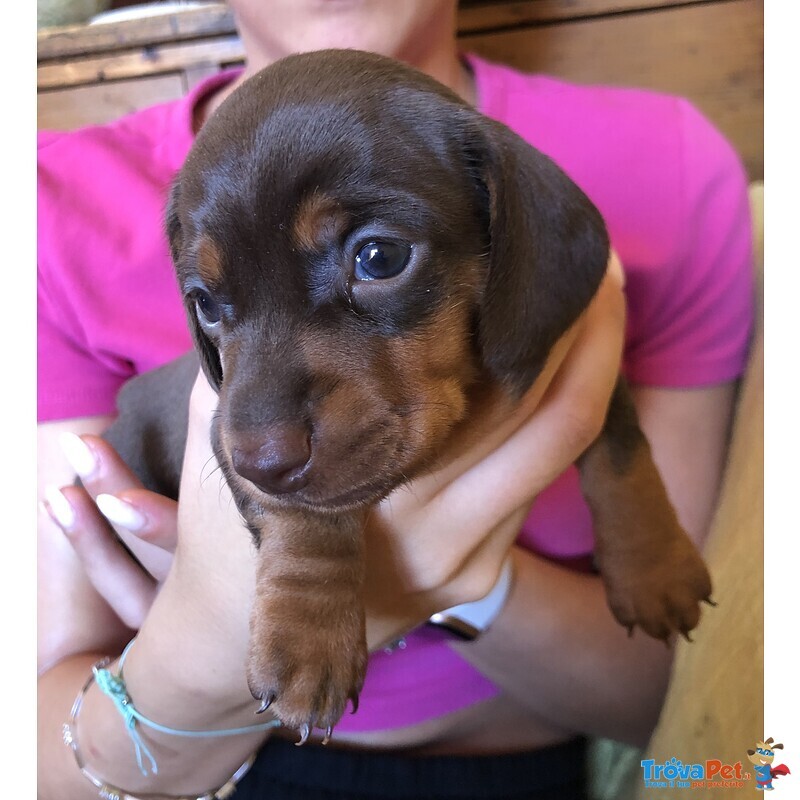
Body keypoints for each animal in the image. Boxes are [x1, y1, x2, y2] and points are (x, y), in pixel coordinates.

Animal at [104, 48, 712, 744]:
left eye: (380, 257)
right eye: (204, 304)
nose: (263, 463)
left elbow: (622, 452)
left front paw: (654, 567)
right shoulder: (224, 430)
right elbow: (308, 517)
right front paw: (309, 640)